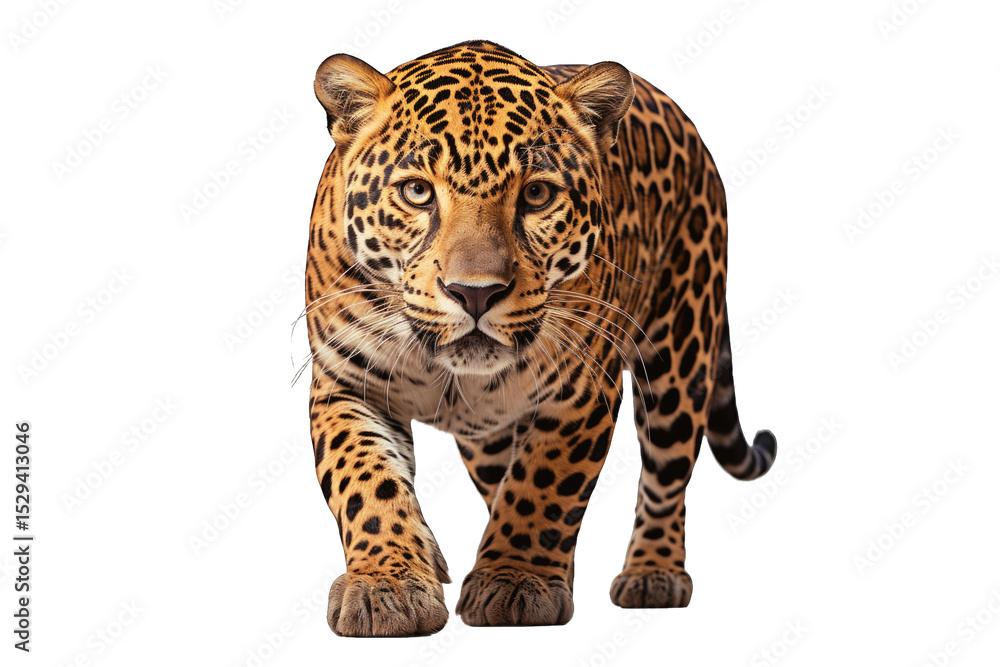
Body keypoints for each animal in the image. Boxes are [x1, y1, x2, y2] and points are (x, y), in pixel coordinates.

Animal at [303, 40, 777, 637]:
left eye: (535, 195)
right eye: (416, 192)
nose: (474, 293)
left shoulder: (582, 390)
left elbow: (543, 486)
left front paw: (516, 580)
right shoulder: (346, 381)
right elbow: (367, 482)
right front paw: (388, 585)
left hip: (680, 350)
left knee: (666, 476)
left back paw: (653, 574)